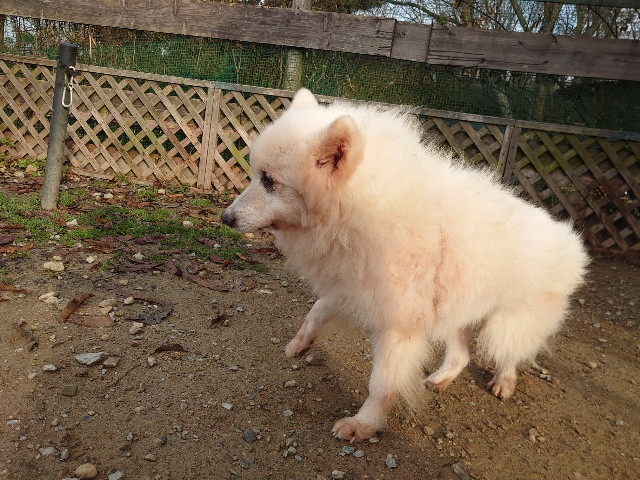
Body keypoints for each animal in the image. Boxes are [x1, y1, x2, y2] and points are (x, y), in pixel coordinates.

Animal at [221, 89, 588, 442]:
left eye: (269, 181)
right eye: (256, 176)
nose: (226, 218)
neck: (358, 208)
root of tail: (570, 242)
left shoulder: (398, 326)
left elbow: (381, 385)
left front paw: (364, 425)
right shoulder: (353, 288)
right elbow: (316, 310)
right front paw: (300, 342)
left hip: (508, 320)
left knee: (511, 351)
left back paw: (505, 380)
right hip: (455, 313)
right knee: (462, 355)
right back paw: (442, 378)